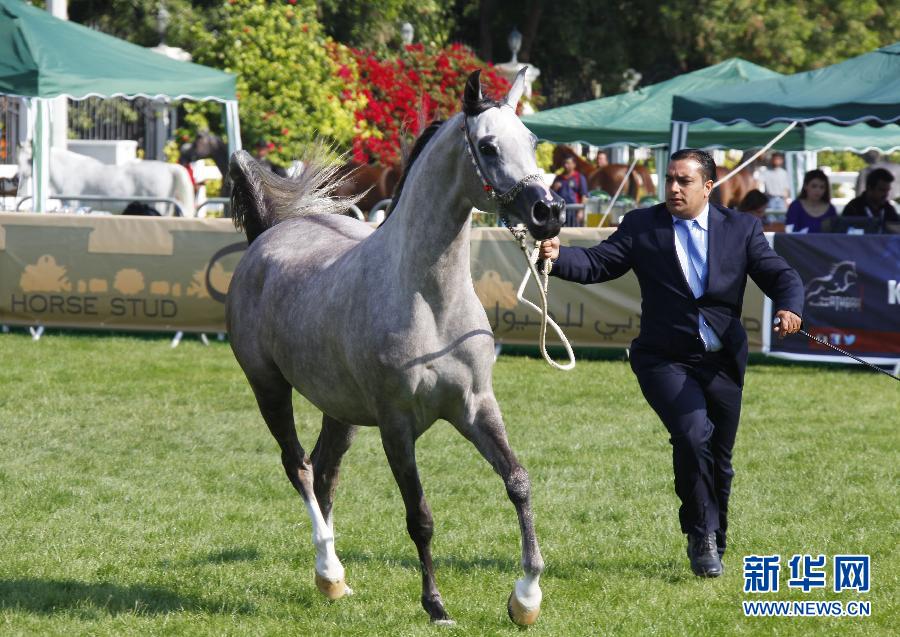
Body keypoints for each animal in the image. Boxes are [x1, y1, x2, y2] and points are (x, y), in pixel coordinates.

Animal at [225, 69, 564, 628]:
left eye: (533, 141)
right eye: (488, 146)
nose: (548, 213)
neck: (429, 300)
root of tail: (268, 236)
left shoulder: (475, 407)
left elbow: (518, 481)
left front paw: (526, 598)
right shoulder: (396, 426)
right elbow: (419, 517)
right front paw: (436, 606)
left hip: (339, 410)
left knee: (325, 472)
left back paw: (333, 580)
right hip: (268, 388)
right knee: (298, 467)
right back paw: (330, 571)